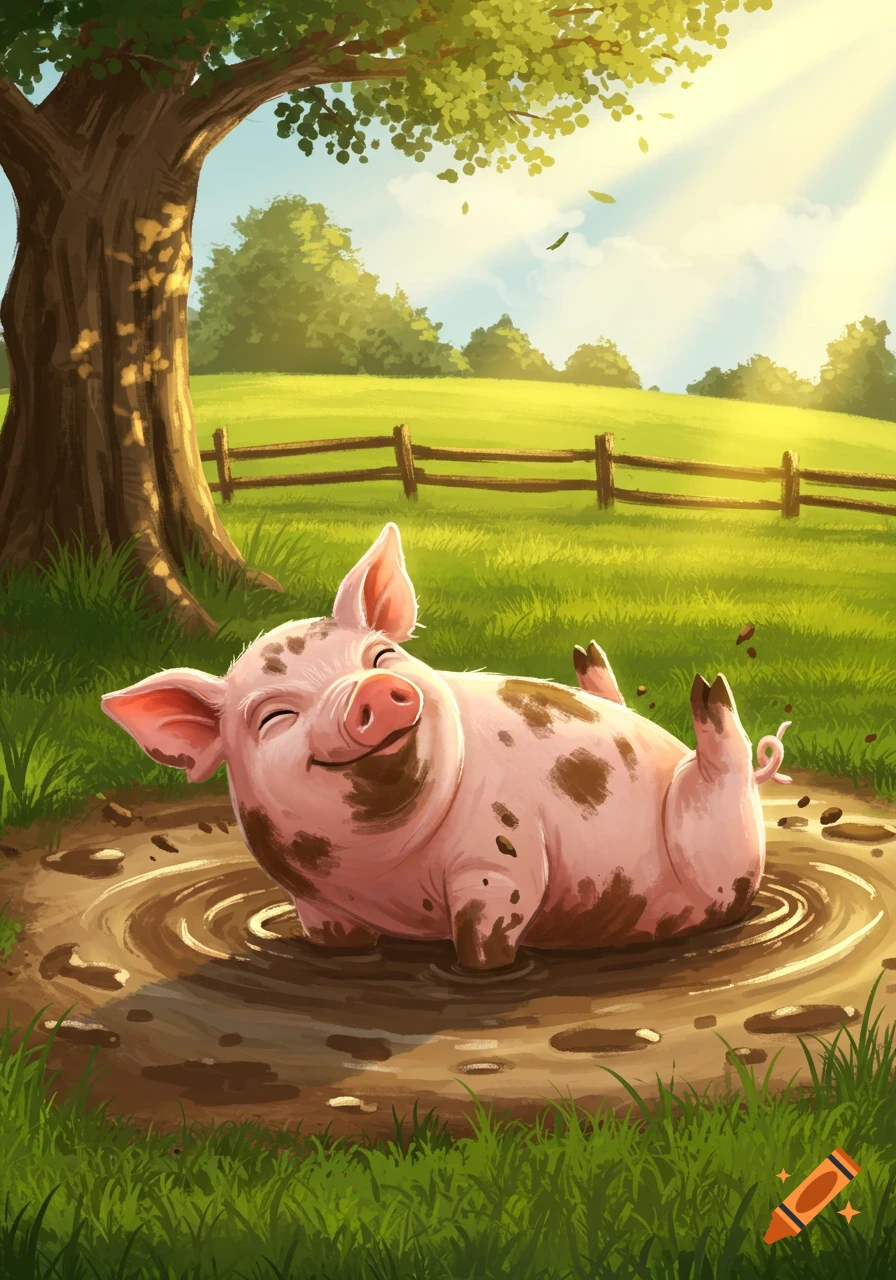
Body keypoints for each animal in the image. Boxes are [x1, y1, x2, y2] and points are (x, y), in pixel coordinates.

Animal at [102, 523, 791, 971]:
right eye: (275, 717)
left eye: (381, 656)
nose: (374, 690)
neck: (384, 870)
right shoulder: (313, 902)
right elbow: (331, 942)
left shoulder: (499, 861)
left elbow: (485, 938)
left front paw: (483, 969)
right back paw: (593, 664)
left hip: (715, 844)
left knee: (723, 780)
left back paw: (699, 690)